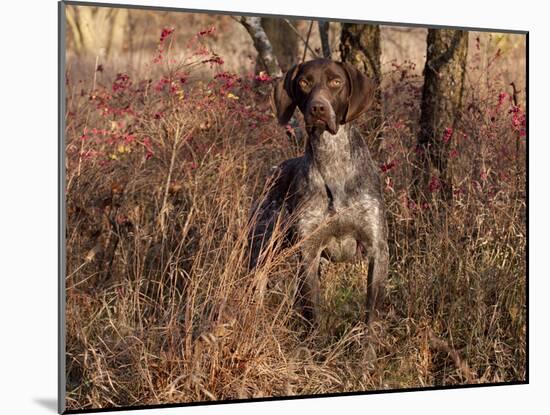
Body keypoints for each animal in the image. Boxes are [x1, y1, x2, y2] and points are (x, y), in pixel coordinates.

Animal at [248, 57, 390, 328]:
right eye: (304, 82)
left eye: (336, 82)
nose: (318, 109)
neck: (334, 164)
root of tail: (275, 170)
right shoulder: (309, 252)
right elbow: (314, 313)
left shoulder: (377, 249)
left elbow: (372, 318)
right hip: (263, 249)